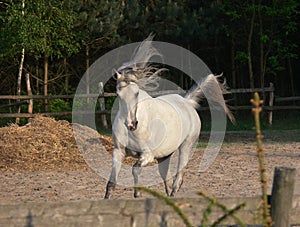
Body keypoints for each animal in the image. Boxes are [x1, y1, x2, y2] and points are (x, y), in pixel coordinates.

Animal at [104, 36, 233, 199]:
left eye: (137, 93)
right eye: (118, 94)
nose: (131, 124)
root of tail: (187, 101)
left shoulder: (148, 155)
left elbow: (135, 169)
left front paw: (137, 193)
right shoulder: (118, 152)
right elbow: (111, 182)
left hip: (186, 146)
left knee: (179, 173)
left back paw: (174, 192)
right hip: (164, 155)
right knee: (166, 176)